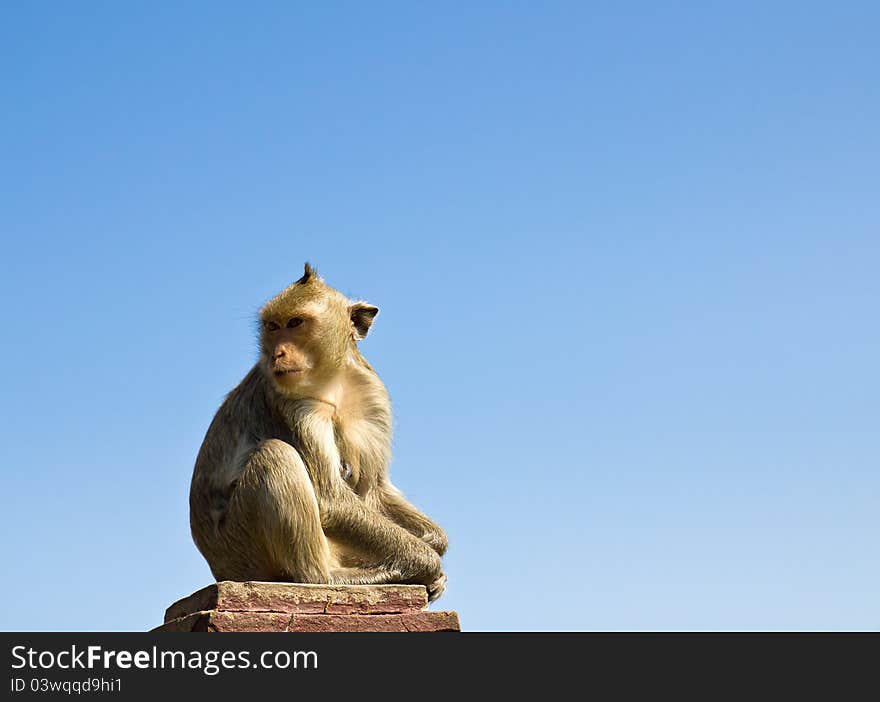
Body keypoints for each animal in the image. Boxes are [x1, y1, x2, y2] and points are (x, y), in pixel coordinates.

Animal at [186, 266, 446, 604]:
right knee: (276, 454)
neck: (332, 381)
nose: (277, 353)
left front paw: (434, 542)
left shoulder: (373, 396)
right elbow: (331, 499)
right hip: (241, 546)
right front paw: (430, 564)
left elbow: (374, 489)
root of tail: (219, 568)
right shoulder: (291, 404)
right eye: (272, 327)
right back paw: (331, 577)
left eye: (295, 323)